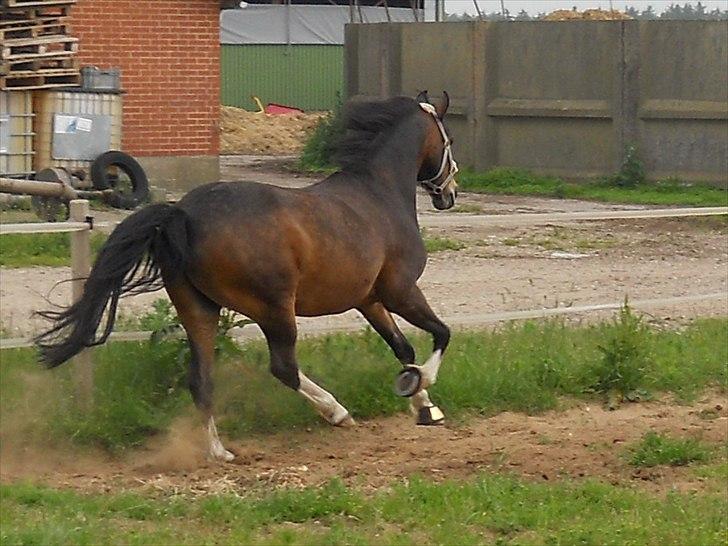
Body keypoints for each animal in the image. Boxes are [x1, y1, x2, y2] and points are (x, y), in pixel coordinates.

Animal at [37, 90, 458, 460]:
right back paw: (336, 412)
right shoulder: (400, 290)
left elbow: (403, 348)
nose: (450, 192)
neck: (380, 193)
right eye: (448, 140)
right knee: (283, 367)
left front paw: (424, 406)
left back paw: (219, 452)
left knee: (201, 379)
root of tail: (183, 214)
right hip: (274, 309)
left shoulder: (370, 299)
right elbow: (441, 334)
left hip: (199, 310)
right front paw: (420, 386)